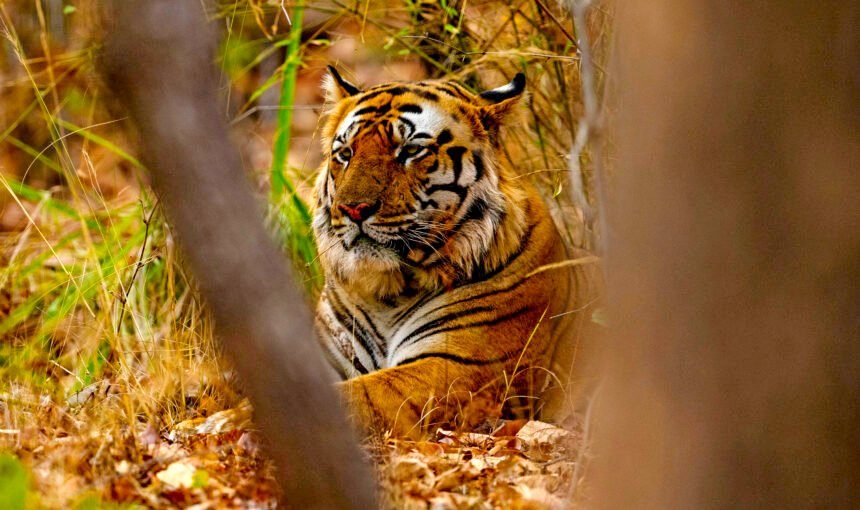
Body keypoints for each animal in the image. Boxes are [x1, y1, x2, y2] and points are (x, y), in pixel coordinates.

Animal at [312, 66, 602, 438]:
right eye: (346, 153)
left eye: (410, 151)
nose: (353, 209)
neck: (386, 292)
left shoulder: (452, 366)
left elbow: (352, 397)